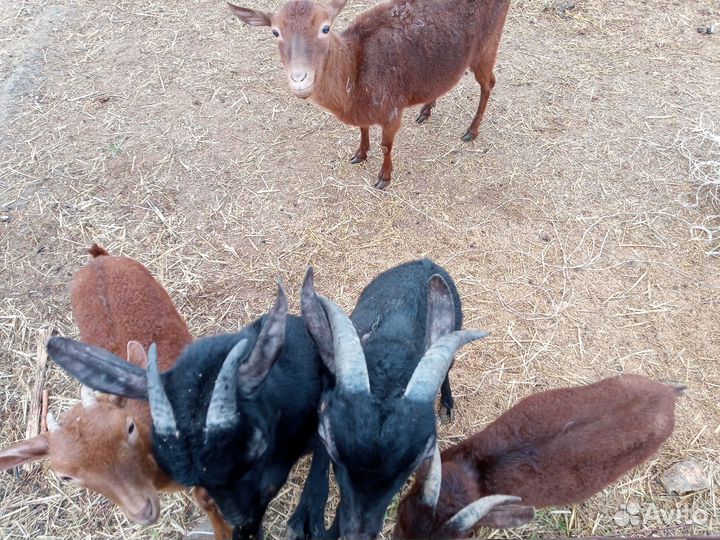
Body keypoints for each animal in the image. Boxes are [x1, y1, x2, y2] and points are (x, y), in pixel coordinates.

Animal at [227, 0, 510, 189]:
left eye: (325, 28)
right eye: (275, 32)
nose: (299, 79)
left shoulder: (392, 107)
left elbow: (386, 145)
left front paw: (384, 178)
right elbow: (363, 130)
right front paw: (360, 154)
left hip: (488, 43)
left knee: (489, 83)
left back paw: (471, 131)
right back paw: (426, 111)